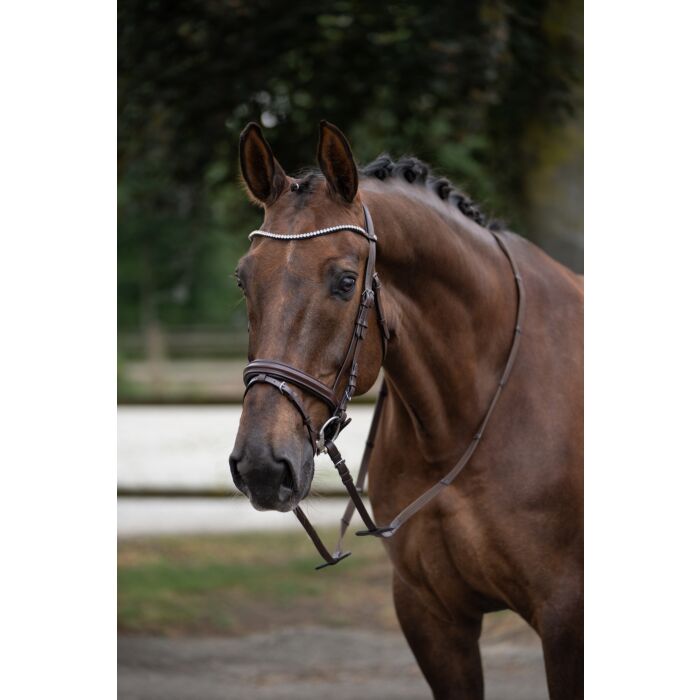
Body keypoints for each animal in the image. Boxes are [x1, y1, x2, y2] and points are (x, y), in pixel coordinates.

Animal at [229, 120, 583, 699]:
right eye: (243, 279)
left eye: (345, 281)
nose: (261, 465)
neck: (462, 424)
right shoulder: (431, 617)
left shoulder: (565, 618)